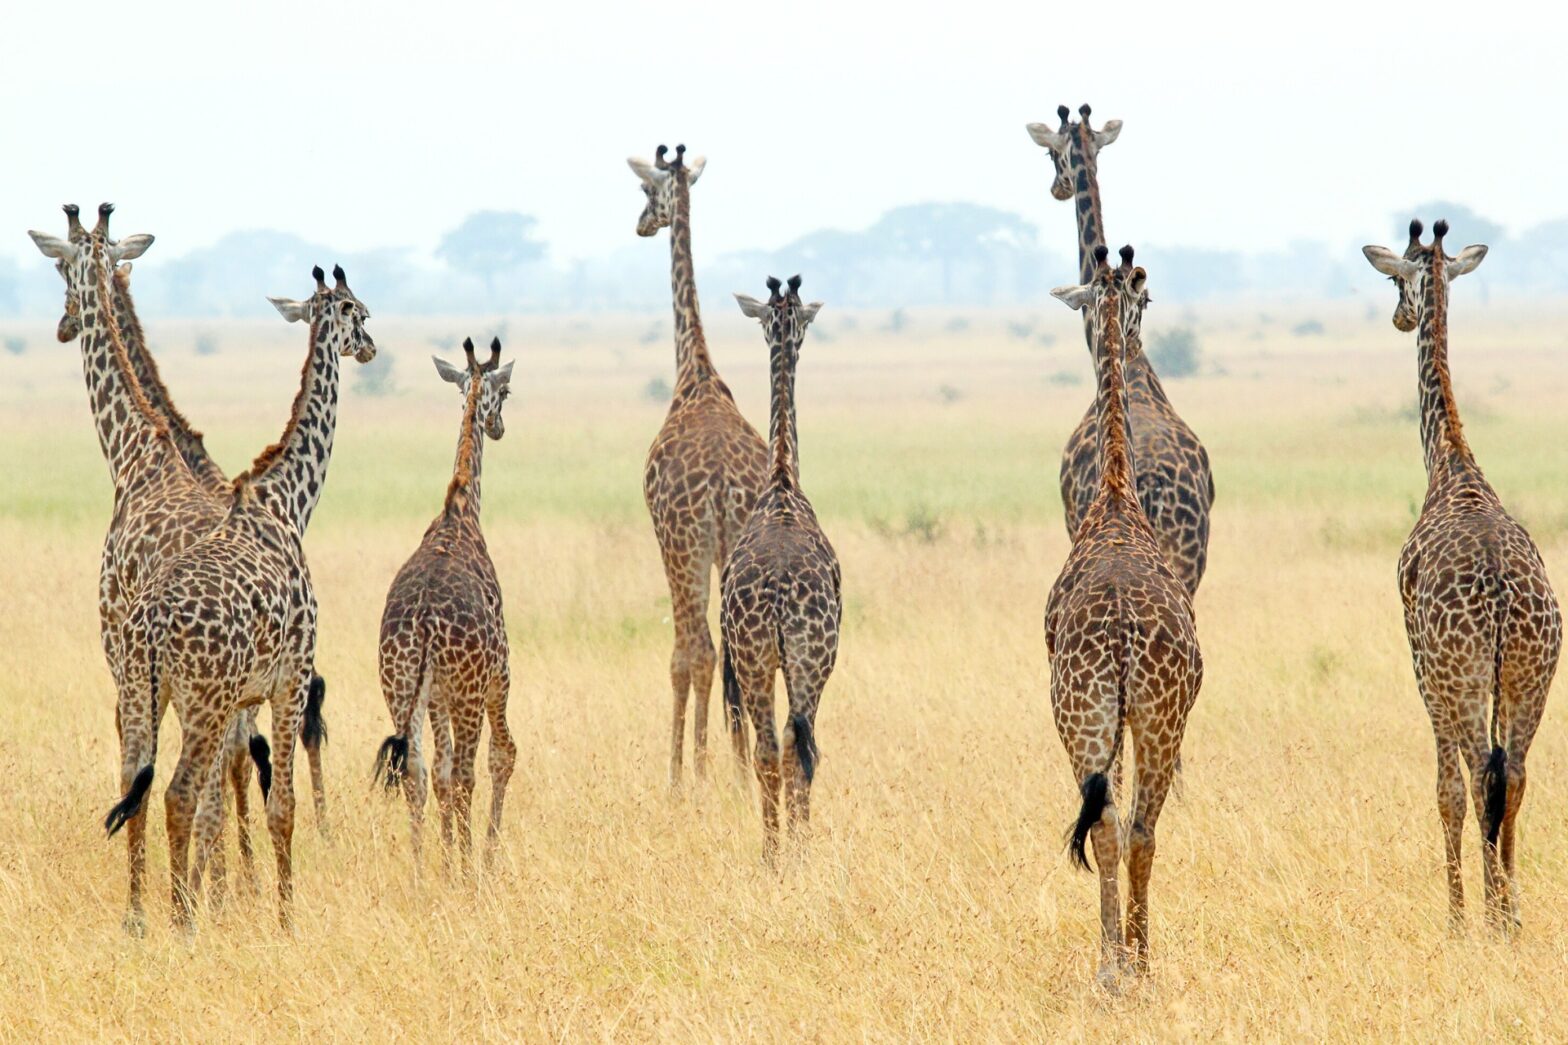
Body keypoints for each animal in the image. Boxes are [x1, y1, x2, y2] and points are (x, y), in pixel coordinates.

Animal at [102, 264, 375, 930]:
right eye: (358, 310)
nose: (371, 347)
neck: (288, 503)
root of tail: (151, 624)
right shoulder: (291, 677)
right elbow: (282, 804)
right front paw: (284, 918)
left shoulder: (247, 695)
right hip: (200, 699)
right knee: (176, 792)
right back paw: (182, 924)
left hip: (141, 691)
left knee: (133, 784)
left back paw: (142, 918)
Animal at [373, 338, 517, 870]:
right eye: (507, 391)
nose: (498, 427)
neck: (460, 510)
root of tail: (423, 625)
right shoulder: (498, 675)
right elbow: (496, 758)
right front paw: (478, 857)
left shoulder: (433, 695)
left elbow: (438, 772)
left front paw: (449, 855)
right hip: (469, 691)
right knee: (467, 771)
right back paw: (467, 867)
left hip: (398, 688)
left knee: (415, 773)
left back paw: (419, 869)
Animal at [1363, 220, 1560, 933]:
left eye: (1397, 278)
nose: (1398, 315)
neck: (1450, 465)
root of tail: (1502, 602)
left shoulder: (1424, 671)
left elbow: (1445, 790)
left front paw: (1455, 915)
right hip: (1531, 675)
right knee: (1516, 774)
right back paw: (1512, 910)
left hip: (1465, 675)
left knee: (1479, 775)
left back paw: (1490, 915)